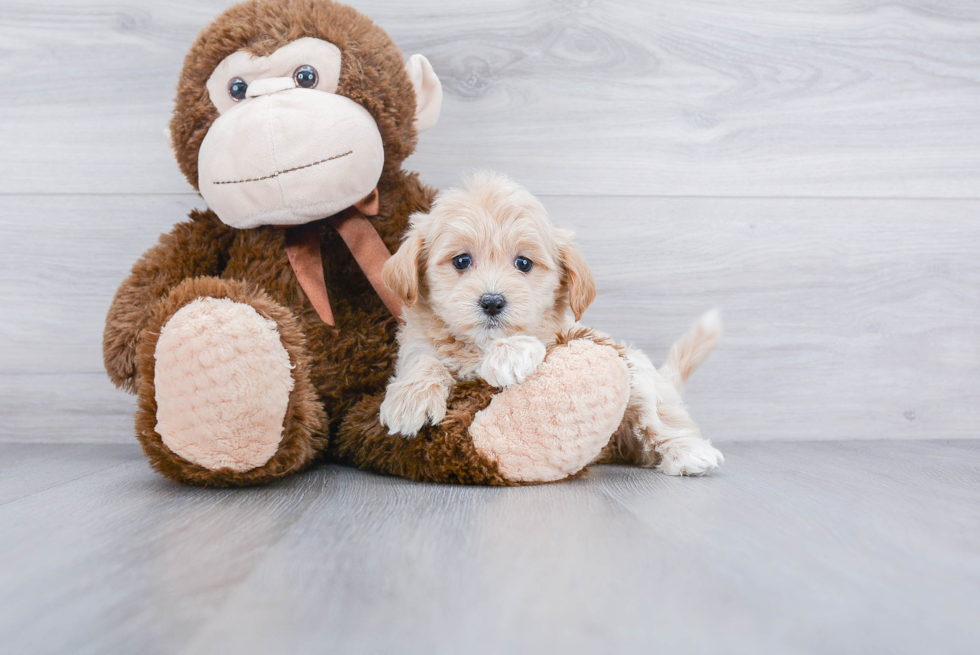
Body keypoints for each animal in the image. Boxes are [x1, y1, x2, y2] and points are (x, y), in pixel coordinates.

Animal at [378, 169, 724, 476]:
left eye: (523, 263)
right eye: (461, 260)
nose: (492, 302)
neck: (479, 347)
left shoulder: (561, 335)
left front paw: (510, 354)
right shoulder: (417, 343)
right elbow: (423, 360)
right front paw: (410, 398)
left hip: (638, 376)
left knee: (657, 419)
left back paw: (688, 452)